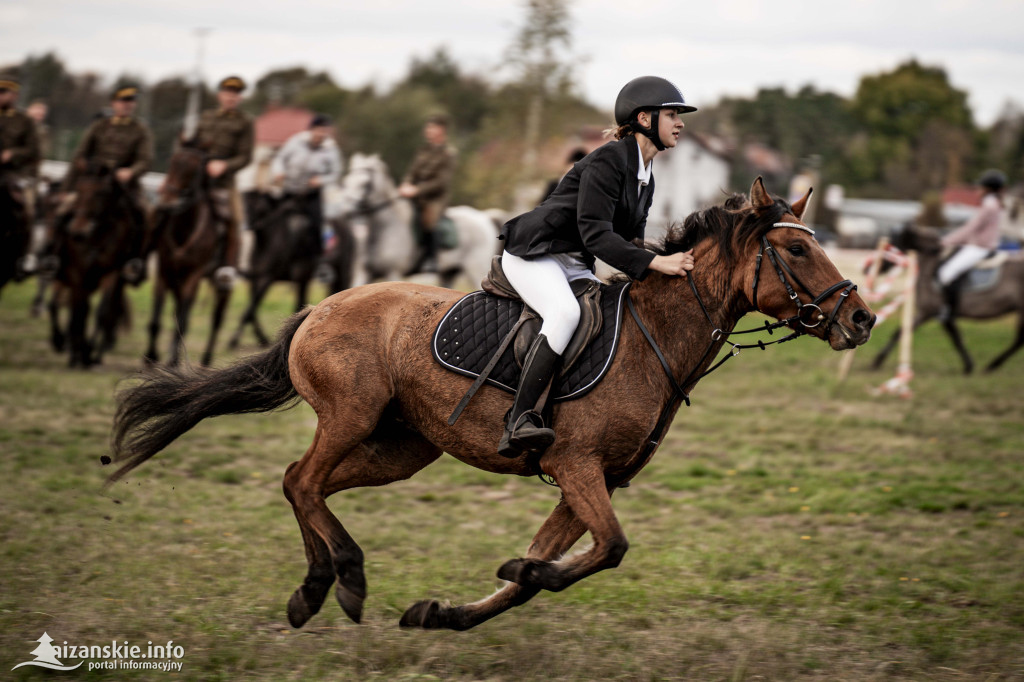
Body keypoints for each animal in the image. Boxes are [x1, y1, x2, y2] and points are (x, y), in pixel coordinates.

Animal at [144, 144, 232, 366]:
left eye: (193, 171)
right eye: (172, 164)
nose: (167, 202)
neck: (184, 228)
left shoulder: (194, 276)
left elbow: (183, 321)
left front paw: (173, 362)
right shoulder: (164, 271)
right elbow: (156, 319)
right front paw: (151, 356)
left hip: (221, 287)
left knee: (217, 320)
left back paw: (207, 358)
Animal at [228, 191, 356, 348]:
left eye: (256, 205)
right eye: (241, 202)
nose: (244, 225)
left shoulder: (274, 277)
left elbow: (253, 308)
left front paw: (235, 339)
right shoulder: (259, 278)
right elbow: (251, 309)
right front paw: (259, 338)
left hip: (341, 271)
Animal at [333, 152, 497, 288]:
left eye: (365, 183)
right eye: (346, 181)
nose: (346, 212)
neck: (384, 227)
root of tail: (483, 217)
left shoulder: (393, 272)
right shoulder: (363, 273)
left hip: (475, 270)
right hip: (448, 273)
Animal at [872, 222, 1024, 372]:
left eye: (894, 243)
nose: (879, 266)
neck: (930, 268)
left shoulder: (939, 313)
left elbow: (956, 338)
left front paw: (969, 366)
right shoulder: (925, 312)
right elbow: (899, 332)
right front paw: (877, 361)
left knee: (1019, 340)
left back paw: (993, 365)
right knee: (1018, 341)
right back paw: (993, 365)